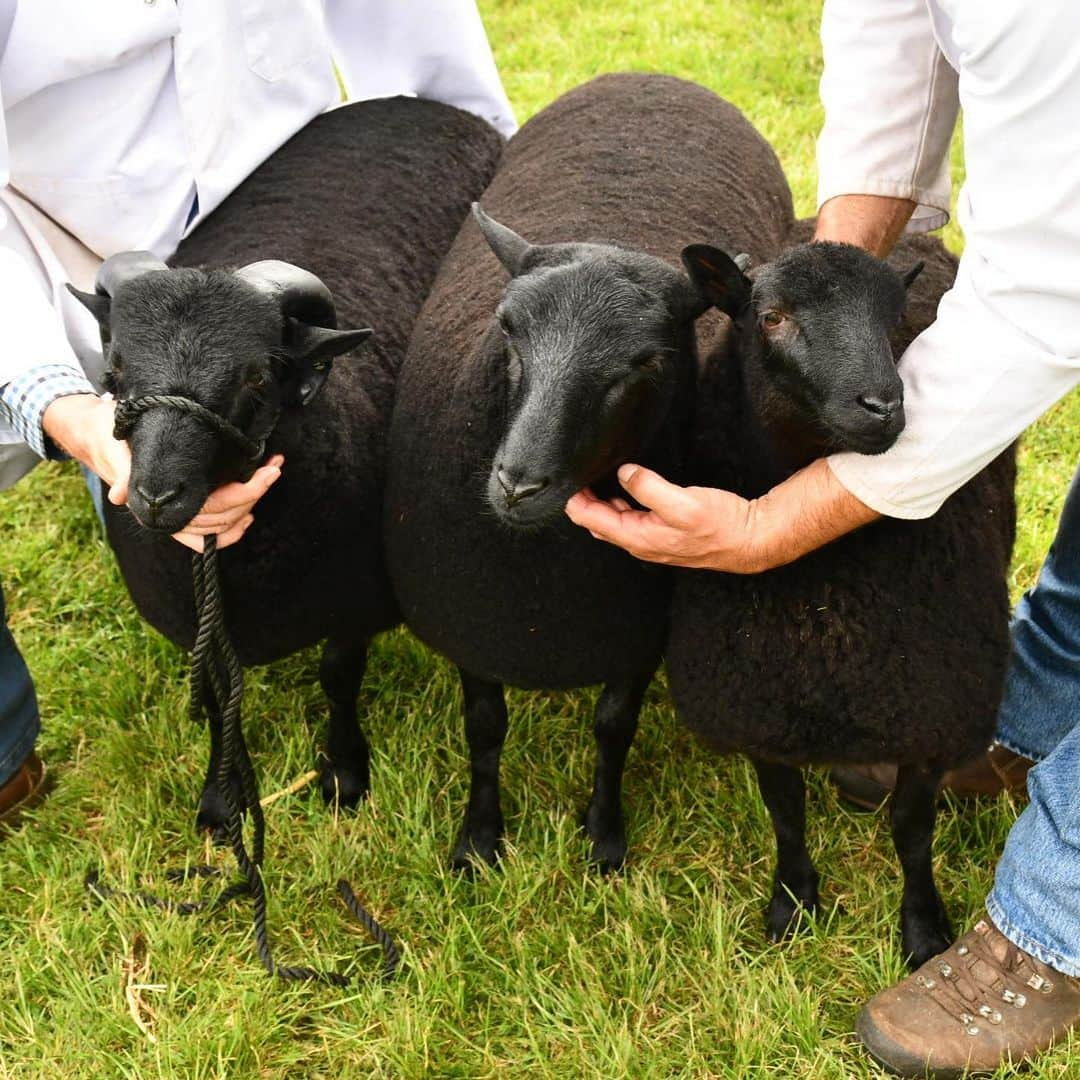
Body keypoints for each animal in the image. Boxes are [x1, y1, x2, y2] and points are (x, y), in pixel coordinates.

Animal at [386, 73, 794, 868]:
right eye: (507, 328)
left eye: (647, 361)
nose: (518, 484)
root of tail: (652, 76)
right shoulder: (471, 622)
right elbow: (484, 727)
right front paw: (479, 841)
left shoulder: (636, 633)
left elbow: (613, 726)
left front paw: (604, 838)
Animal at [669, 223, 1015, 967]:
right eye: (771, 317)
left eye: (893, 322)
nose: (883, 407)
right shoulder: (760, 710)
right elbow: (785, 815)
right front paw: (793, 906)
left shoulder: (930, 712)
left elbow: (912, 830)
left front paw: (923, 929)